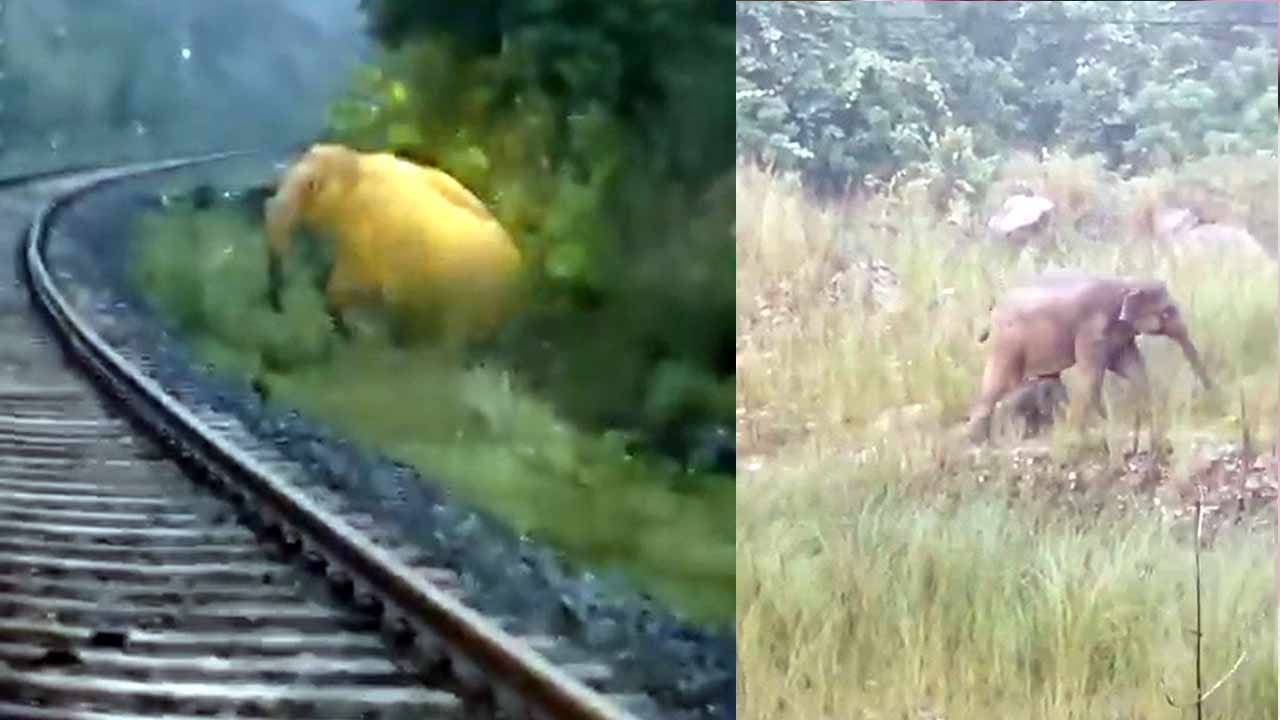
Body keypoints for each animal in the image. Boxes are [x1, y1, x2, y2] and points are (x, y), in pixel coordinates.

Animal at [967, 274, 1211, 441]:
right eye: (1168, 311)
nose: (1211, 395)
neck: (1126, 283)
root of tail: (993, 309)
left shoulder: (1118, 336)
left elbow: (1131, 366)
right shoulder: (1092, 329)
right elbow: (1091, 374)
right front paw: (1101, 425)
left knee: (1048, 380)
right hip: (1008, 344)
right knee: (1000, 381)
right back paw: (979, 439)